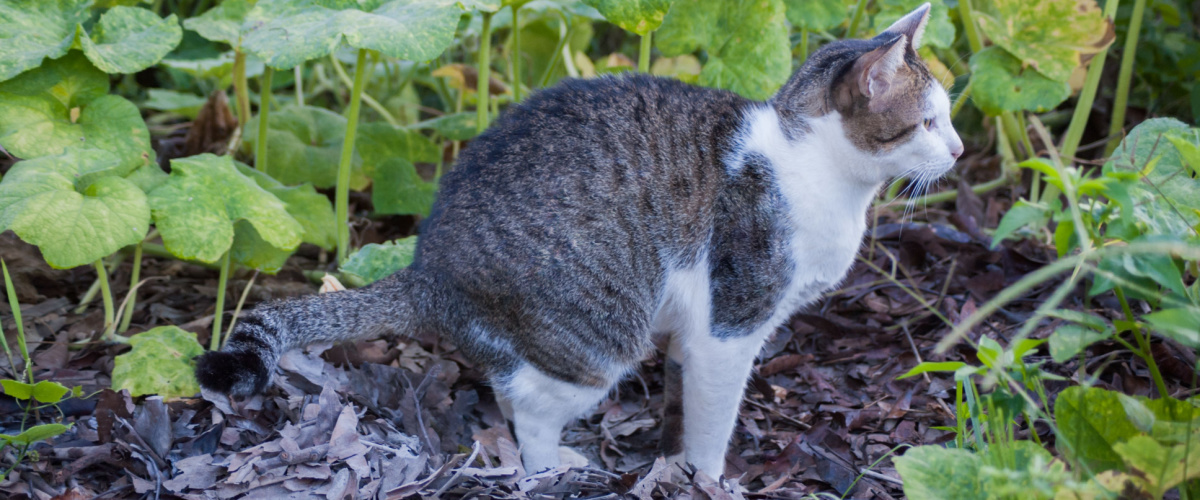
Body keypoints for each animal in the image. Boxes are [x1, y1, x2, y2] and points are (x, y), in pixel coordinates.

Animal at [196, 3, 964, 479]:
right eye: (927, 121)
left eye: (949, 117)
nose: (958, 150)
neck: (816, 170)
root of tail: (428, 269)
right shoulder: (732, 320)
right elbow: (713, 419)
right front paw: (708, 477)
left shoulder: (693, 329)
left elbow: (682, 404)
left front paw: (671, 460)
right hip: (598, 337)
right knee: (534, 411)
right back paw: (550, 467)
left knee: (514, 391)